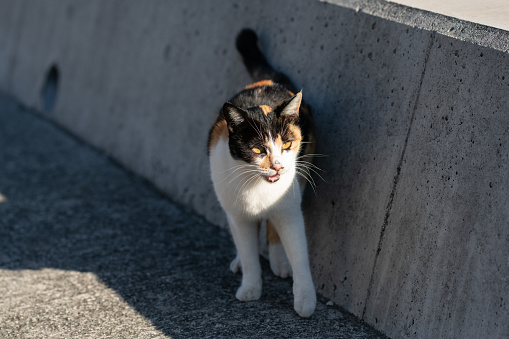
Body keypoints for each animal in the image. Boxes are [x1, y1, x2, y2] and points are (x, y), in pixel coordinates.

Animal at [208, 29, 316, 318]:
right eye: (258, 149)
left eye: (286, 144)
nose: (278, 165)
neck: (257, 187)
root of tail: (270, 79)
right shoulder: (238, 214)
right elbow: (248, 252)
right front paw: (250, 288)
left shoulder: (289, 210)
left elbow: (299, 254)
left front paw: (306, 300)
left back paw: (280, 263)